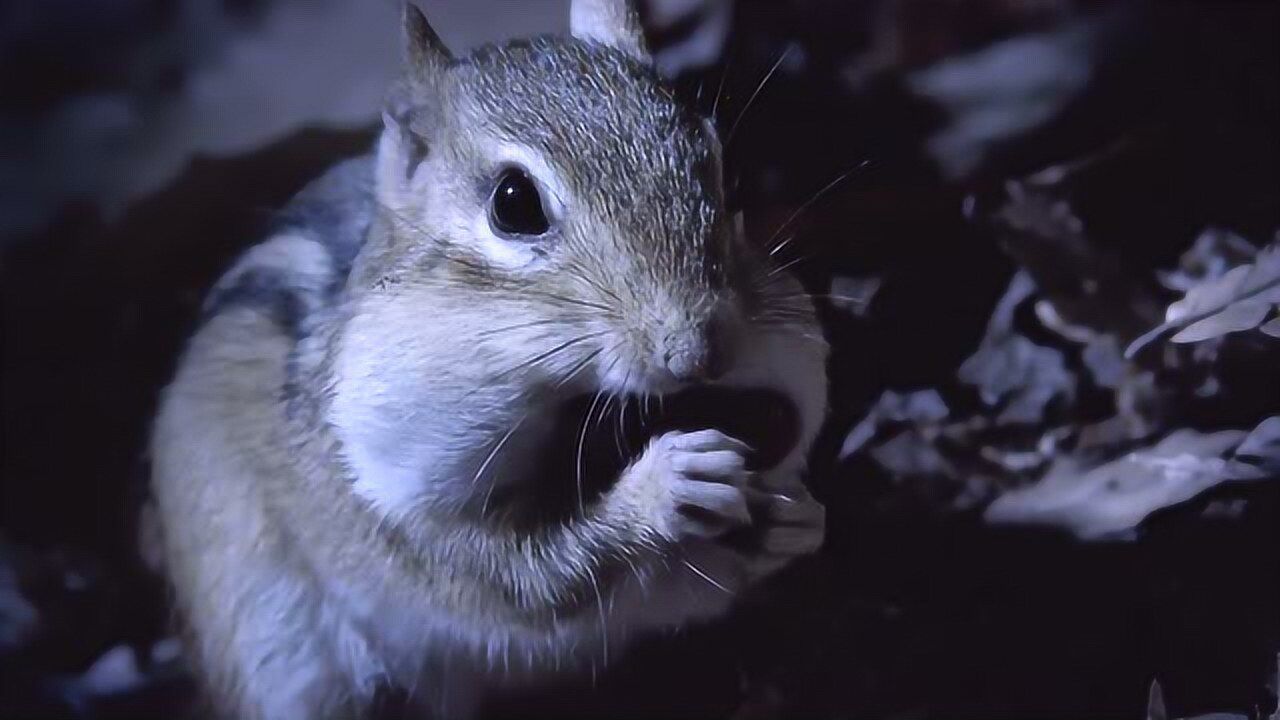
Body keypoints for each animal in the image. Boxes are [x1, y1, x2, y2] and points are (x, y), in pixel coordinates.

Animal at [149, 2, 829, 712]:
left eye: (714, 161)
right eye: (514, 202)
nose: (699, 353)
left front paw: (799, 522)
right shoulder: (397, 509)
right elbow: (526, 579)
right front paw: (662, 486)